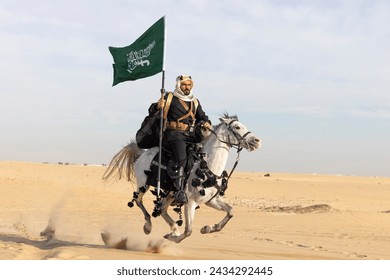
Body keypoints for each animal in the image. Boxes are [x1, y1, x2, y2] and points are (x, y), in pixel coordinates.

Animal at [103, 114, 262, 243]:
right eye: (237, 127)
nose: (257, 141)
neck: (206, 168)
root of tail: (142, 153)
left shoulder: (211, 200)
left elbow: (230, 211)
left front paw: (208, 228)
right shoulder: (190, 203)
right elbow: (188, 231)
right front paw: (174, 238)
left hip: (170, 194)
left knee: (162, 209)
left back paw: (174, 228)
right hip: (143, 184)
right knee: (139, 201)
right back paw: (149, 226)